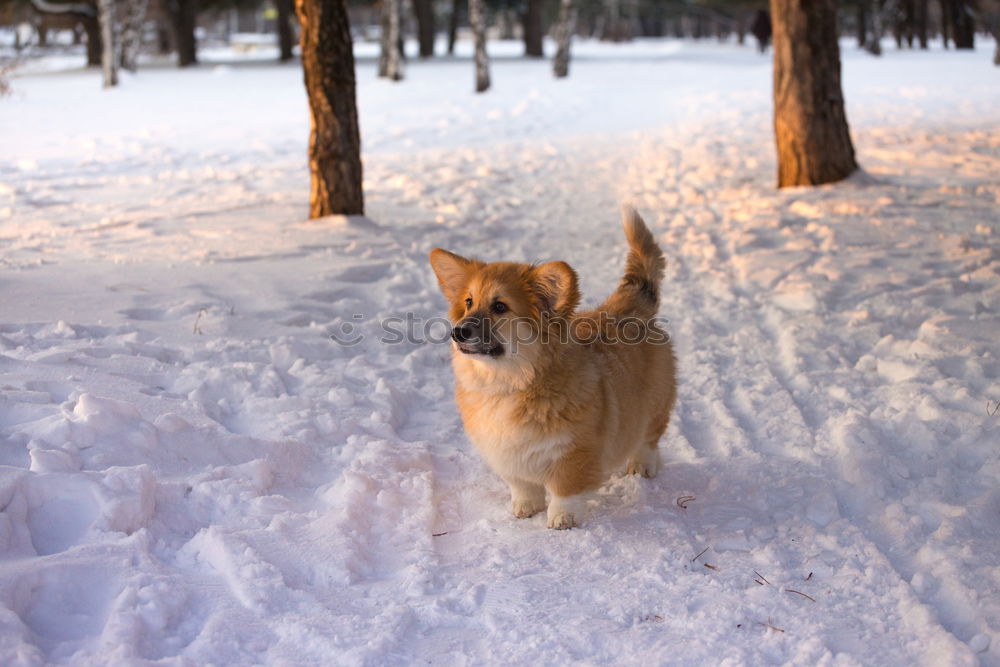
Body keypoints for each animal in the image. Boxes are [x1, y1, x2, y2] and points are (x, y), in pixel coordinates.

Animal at [426, 206, 676, 528]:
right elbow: (522, 486)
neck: (510, 381)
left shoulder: (574, 451)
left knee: (649, 439)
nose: (457, 332)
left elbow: (565, 490)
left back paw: (642, 466)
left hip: (655, 405)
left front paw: (562, 519)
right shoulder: (510, 456)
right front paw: (525, 508)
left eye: (499, 307)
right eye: (468, 302)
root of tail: (630, 305)